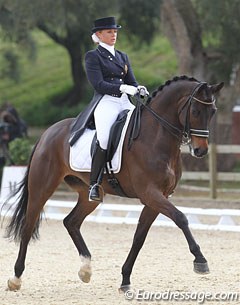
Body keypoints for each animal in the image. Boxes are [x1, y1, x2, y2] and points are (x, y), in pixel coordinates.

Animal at [4, 75, 223, 290]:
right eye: (195, 111)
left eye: (213, 111)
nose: (200, 150)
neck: (156, 136)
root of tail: (47, 133)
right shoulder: (150, 193)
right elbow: (181, 218)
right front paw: (200, 260)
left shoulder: (158, 196)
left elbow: (139, 237)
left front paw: (125, 279)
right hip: (41, 188)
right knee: (28, 226)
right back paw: (16, 278)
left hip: (89, 195)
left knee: (71, 221)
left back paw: (86, 269)